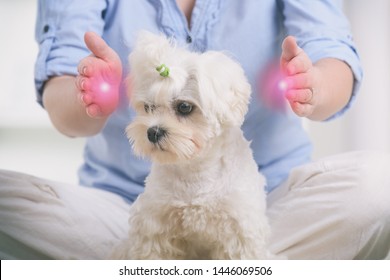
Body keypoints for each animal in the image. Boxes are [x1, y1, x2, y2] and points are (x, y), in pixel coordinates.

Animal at [112, 32, 272, 258]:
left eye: (184, 107)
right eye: (148, 107)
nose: (152, 132)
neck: (195, 170)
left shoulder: (239, 230)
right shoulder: (154, 225)